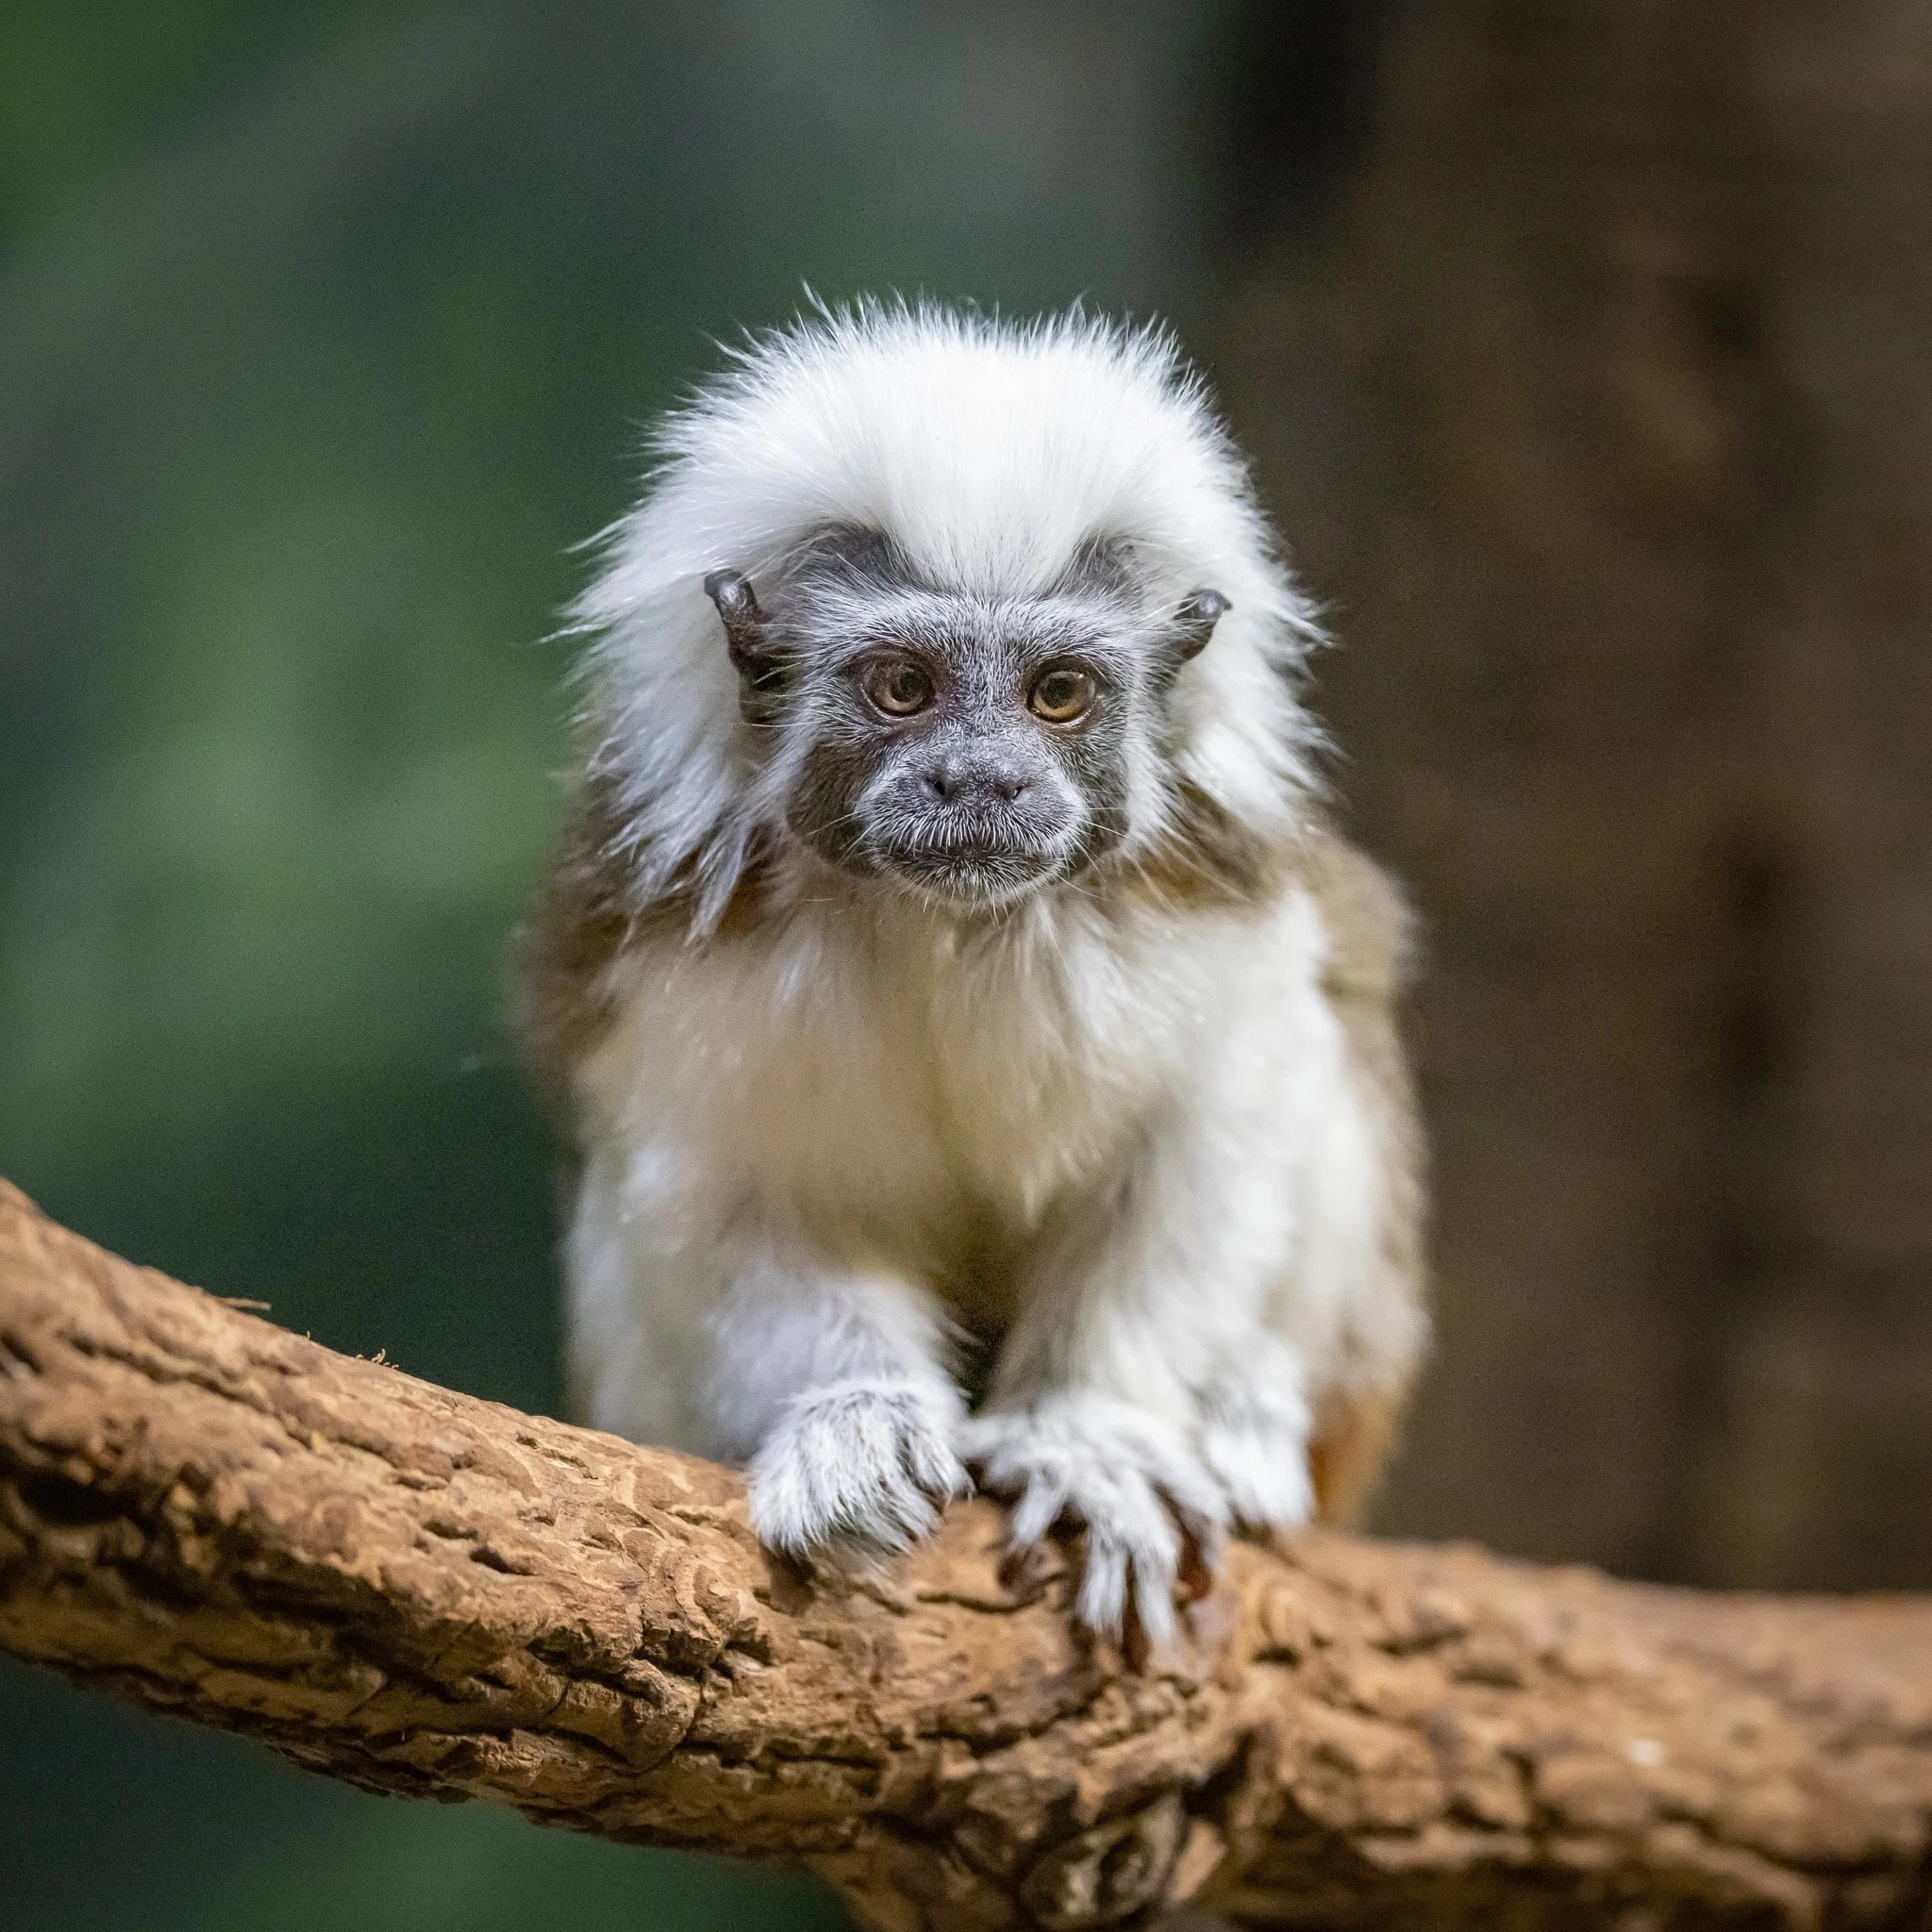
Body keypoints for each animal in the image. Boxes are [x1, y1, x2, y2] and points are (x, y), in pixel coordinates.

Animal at [521, 301, 1429, 1645]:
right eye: (903, 687)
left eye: (1057, 695)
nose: (982, 782)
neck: (953, 923)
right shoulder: (680, 956)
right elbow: (727, 1202)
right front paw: (853, 1421)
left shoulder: (1215, 924)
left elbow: (1204, 1149)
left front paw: (1089, 1438)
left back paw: (1248, 1413)